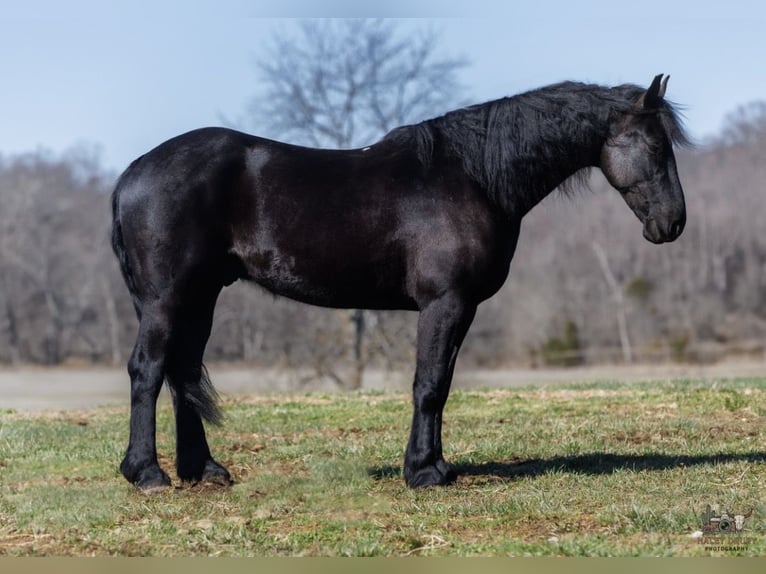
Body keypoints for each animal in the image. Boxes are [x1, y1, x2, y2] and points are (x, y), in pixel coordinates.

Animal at [111, 74, 688, 491]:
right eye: (652, 145)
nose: (673, 223)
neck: (472, 177)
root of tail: (133, 172)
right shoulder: (445, 303)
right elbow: (428, 385)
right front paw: (424, 474)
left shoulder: (461, 308)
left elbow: (442, 385)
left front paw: (436, 465)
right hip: (167, 300)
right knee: (148, 370)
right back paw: (148, 474)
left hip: (200, 298)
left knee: (182, 372)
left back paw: (203, 471)